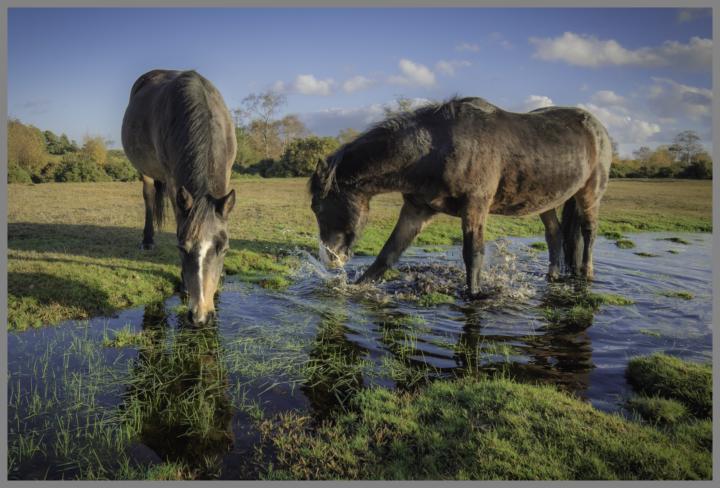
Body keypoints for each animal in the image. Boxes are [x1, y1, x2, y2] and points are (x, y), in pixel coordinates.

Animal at [122, 69, 237, 324]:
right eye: (181, 248)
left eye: (224, 249)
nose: (200, 317)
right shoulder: (173, 181)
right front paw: (184, 284)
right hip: (146, 172)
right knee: (148, 197)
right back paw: (147, 240)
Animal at [309, 97, 612, 296]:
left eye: (319, 208)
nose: (329, 258)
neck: (437, 148)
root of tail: (597, 127)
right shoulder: (416, 209)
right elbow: (388, 253)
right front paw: (355, 287)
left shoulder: (475, 207)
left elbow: (473, 254)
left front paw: (475, 295)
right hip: (546, 201)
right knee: (555, 235)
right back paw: (553, 275)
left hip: (590, 194)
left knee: (589, 232)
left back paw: (586, 274)